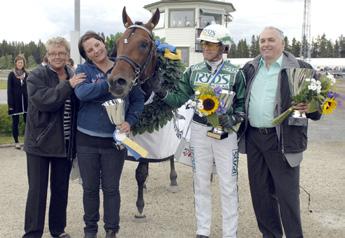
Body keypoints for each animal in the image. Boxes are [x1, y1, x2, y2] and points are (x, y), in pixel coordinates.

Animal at [108, 6, 181, 219]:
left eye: (144, 44)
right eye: (118, 42)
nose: (116, 82)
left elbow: (141, 173)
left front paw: (140, 207)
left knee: (172, 154)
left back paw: (173, 179)